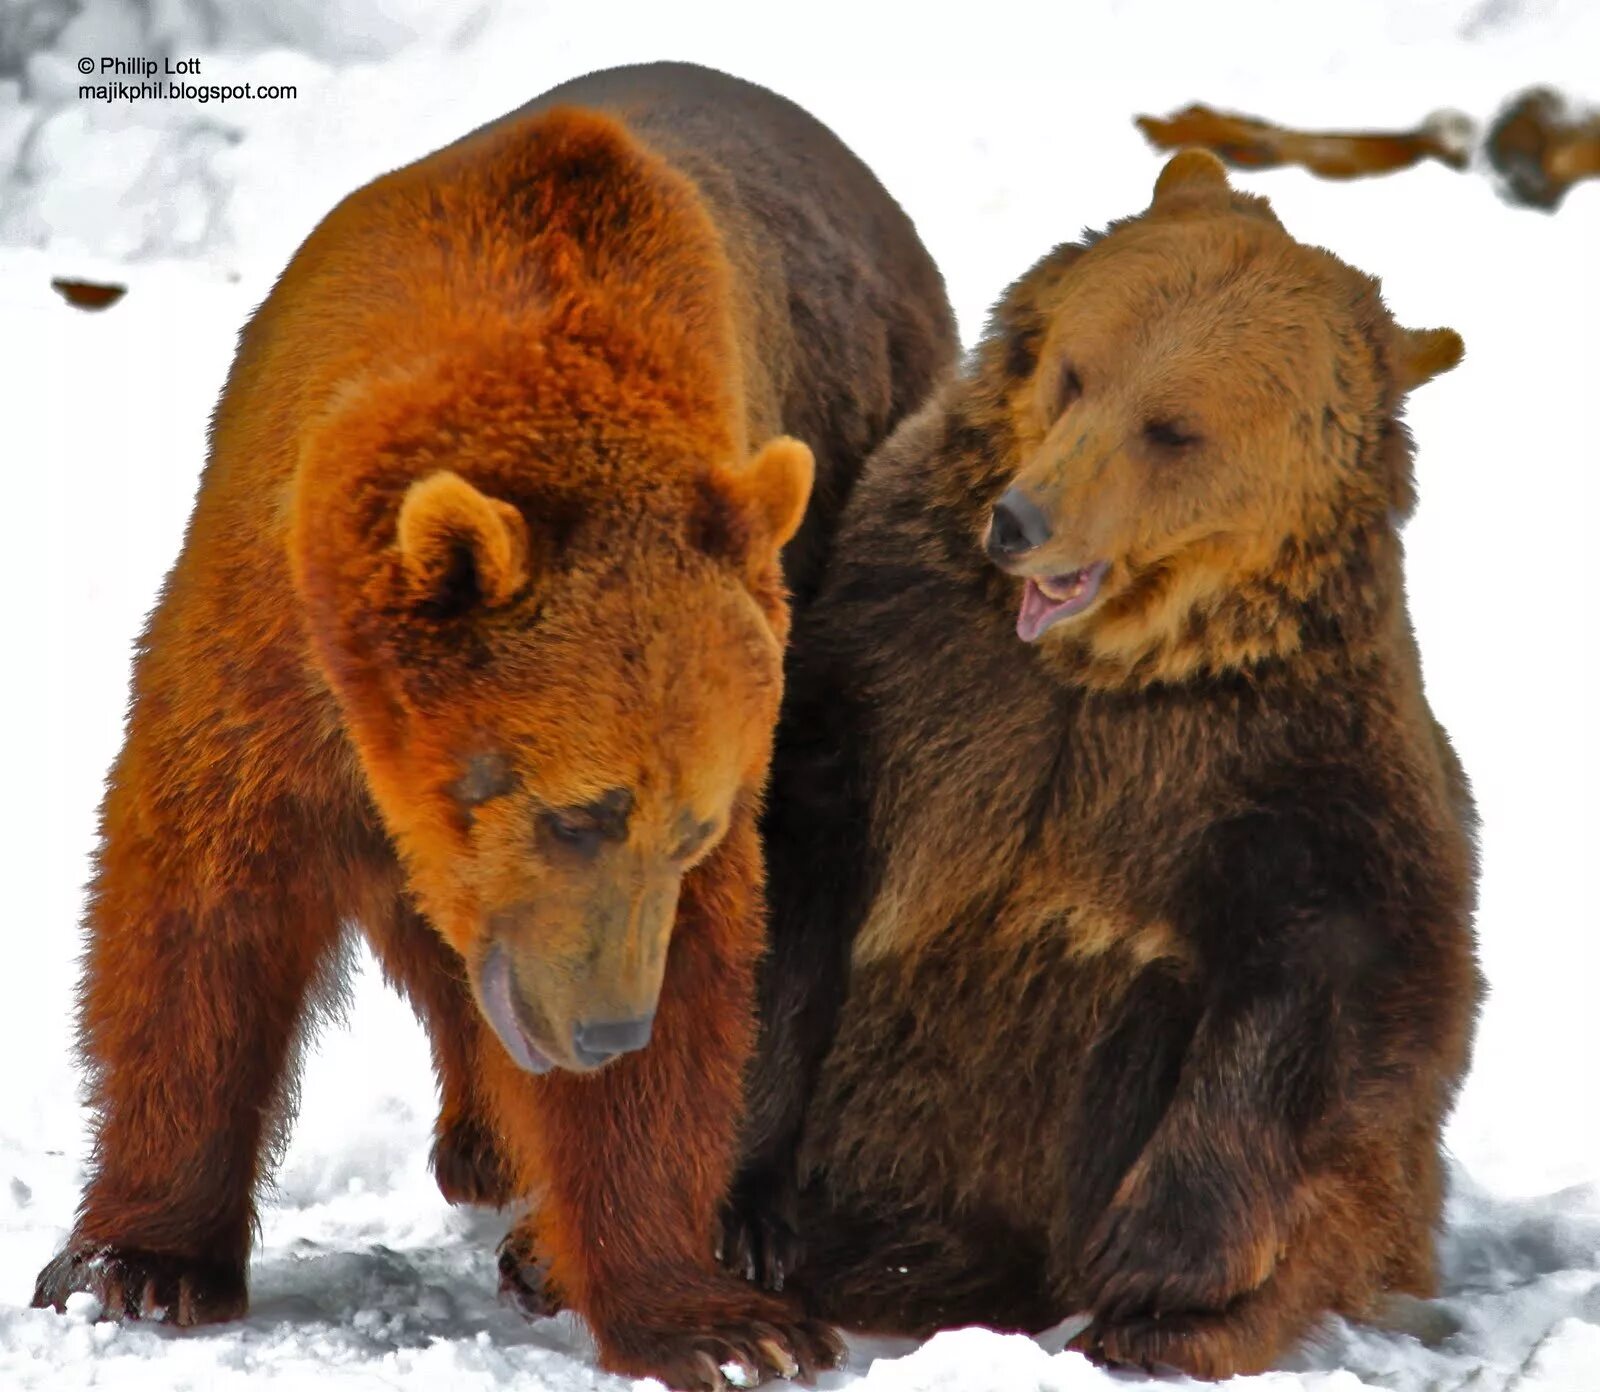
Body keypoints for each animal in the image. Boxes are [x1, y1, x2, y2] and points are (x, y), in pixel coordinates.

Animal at [726, 147, 1472, 1376]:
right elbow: (780, 889)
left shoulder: (1280, 746)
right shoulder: (900, 667)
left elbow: (1343, 960)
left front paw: (1161, 1264)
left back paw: (1156, 1328)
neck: (1104, 665)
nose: (1020, 521)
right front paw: (742, 1220)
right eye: (1077, 373)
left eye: (1173, 428)